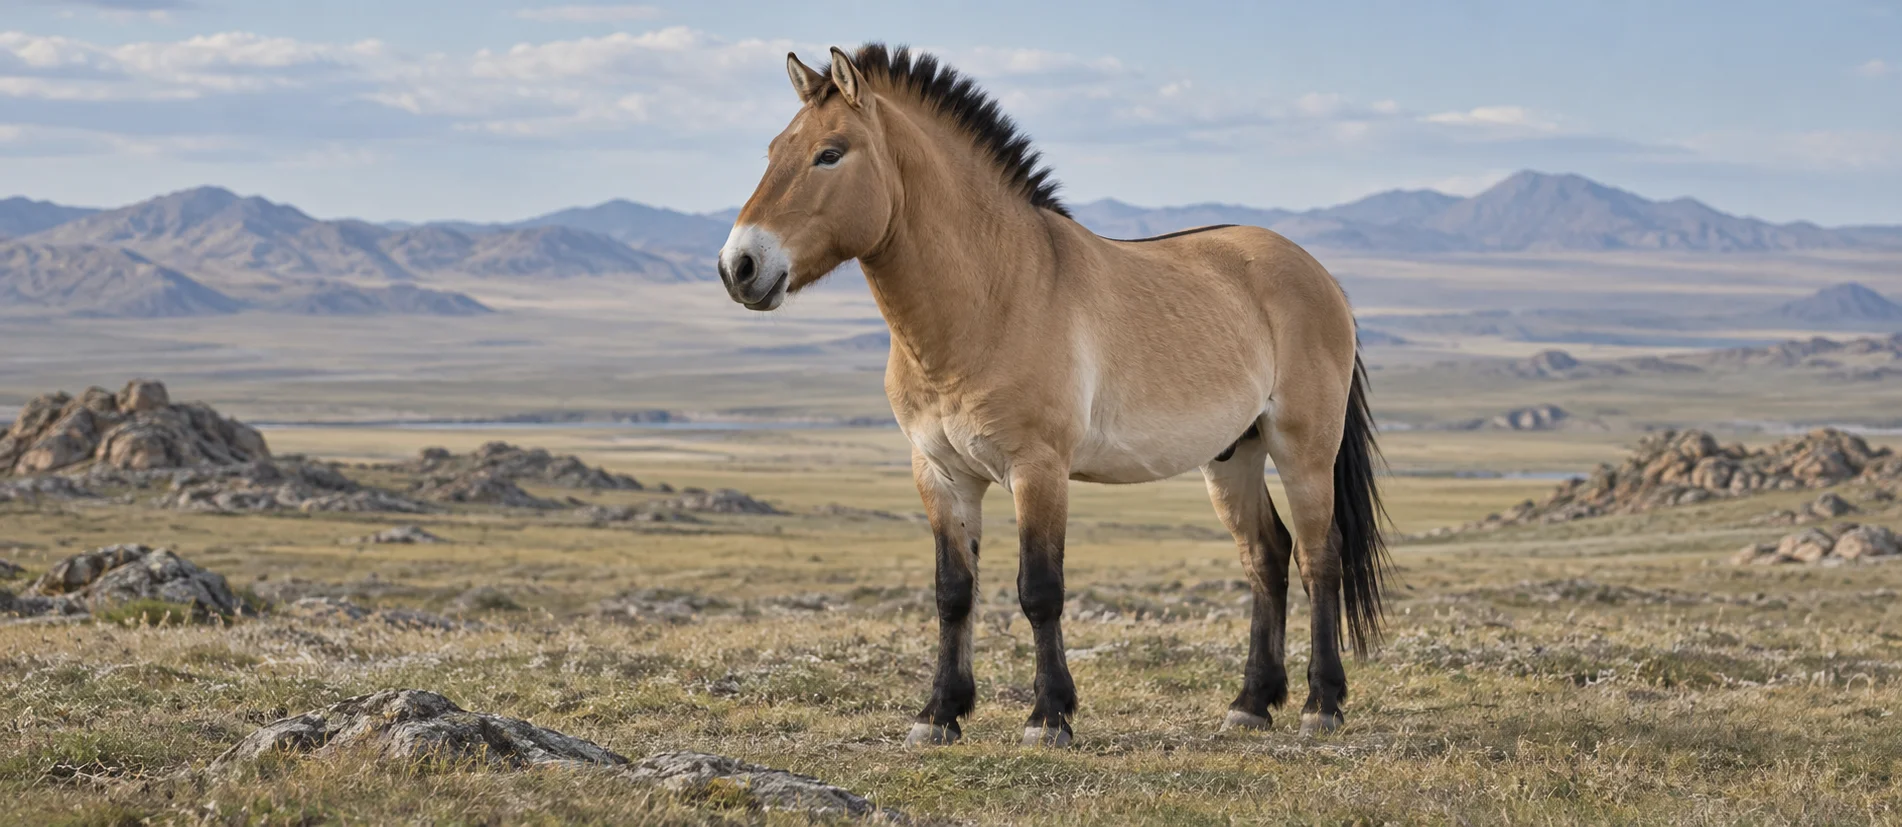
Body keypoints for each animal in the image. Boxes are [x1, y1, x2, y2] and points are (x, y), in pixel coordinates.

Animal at [717, 43, 1388, 747]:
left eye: (830, 153)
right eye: (772, 150)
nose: (739, 267)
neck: (992, 296)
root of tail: (1318, 274)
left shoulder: (1037, 468)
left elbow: (1040, 588)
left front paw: (1048, 715)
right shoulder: (940, 472)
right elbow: (953, 591)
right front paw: (940, 713)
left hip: (1303, 450)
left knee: (1319, 557)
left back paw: (1321, 704)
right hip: (1233, 455)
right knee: (1266, 556)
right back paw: (1251, 703)